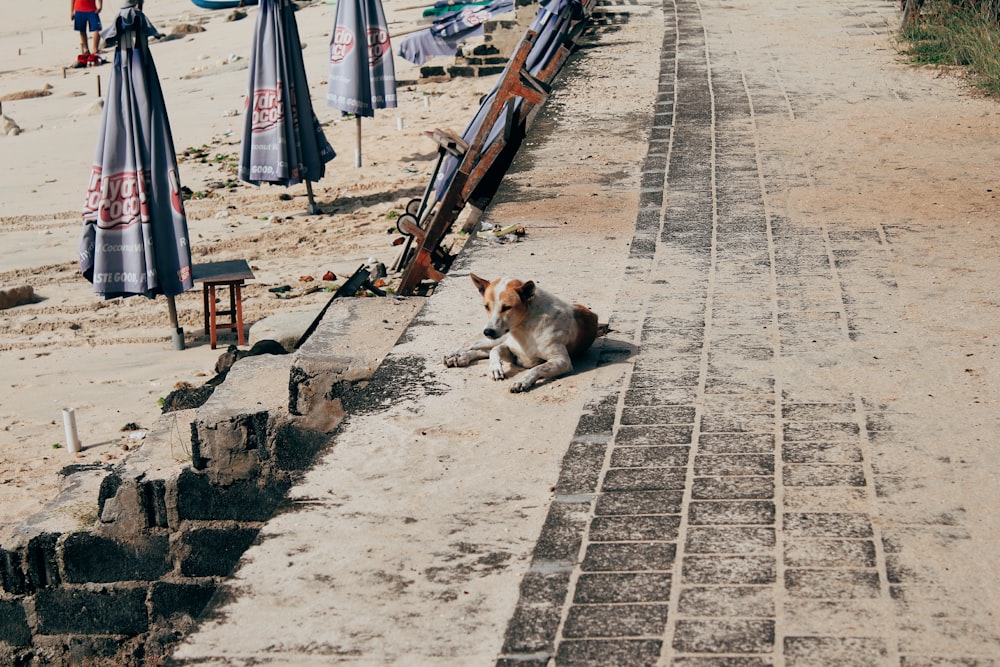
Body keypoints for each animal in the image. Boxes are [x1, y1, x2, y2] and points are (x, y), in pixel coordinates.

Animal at [448, 276, 600, 394]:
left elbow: (537, 368)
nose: (488, 331)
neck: (525, 327)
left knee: (482, 349)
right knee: (475, 344)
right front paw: (495, 368)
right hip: (499, 338)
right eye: (486, 306)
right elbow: (494, 351)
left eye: (506, 307)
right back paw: (455, 355)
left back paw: (460, 358)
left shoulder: (562, 361)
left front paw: (522, 381)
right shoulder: (511, 350)